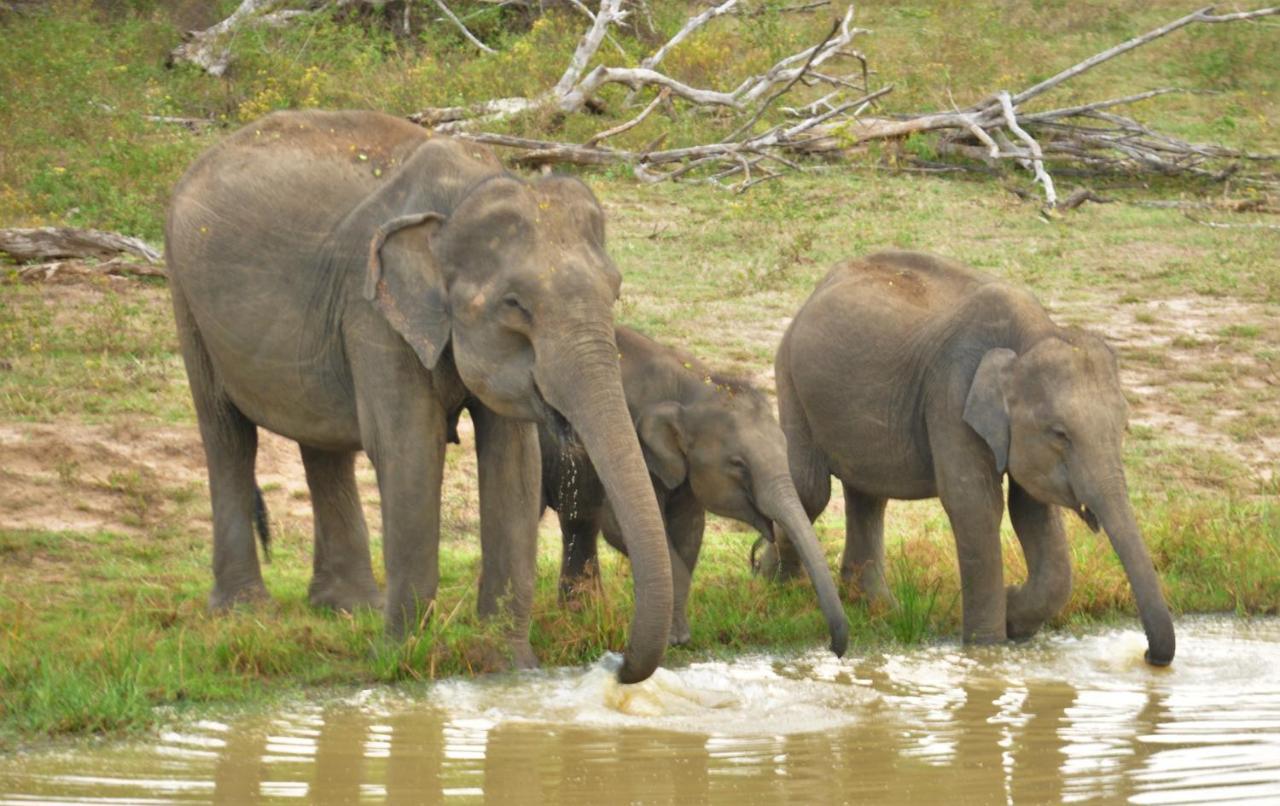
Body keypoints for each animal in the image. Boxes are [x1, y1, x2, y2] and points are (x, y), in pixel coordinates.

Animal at [165, 110, 675, 685]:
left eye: (615, 292)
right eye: (515, 305)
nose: (616, 665)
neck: (464, 196)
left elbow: (513, 467)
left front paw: (508, 669)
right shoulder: (370, 307)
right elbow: (409, 449)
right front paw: (401, 660)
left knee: (322, 446)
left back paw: (350, 608)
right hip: (185, 291)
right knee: (226, 433)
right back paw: (245, 611)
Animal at [537, 324, 849, 655]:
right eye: (738, 464)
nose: (832, 648)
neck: (691, 386)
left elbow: (689, 530)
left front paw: (679, 639)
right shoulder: (631, 449)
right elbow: (622, 528)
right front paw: (672, 640)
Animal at [752, 253, 1172, 670]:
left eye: (1124, 427)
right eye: (1060, 434)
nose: (1148, 655)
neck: (1033, 334)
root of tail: (821, 283)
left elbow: (1031, 511)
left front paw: (1014, 614)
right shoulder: (952, 393)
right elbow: (975, 505)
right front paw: (987, 651)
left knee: (867, 495)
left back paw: (877, 607)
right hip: (790, 376)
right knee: (812, 490)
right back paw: (772, 579)